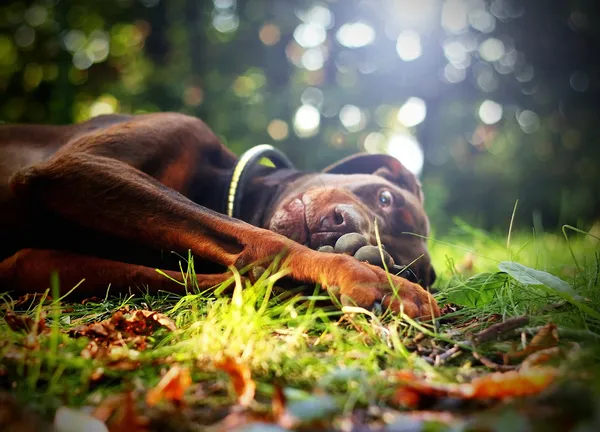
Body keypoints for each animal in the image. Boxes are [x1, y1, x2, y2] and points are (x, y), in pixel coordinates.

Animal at [1, 113, 440, 318]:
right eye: (385, 198)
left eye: (401, 264)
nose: (345, 232)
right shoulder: (76, 168)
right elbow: (263, 239)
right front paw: (365, 276)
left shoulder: (29, 263)